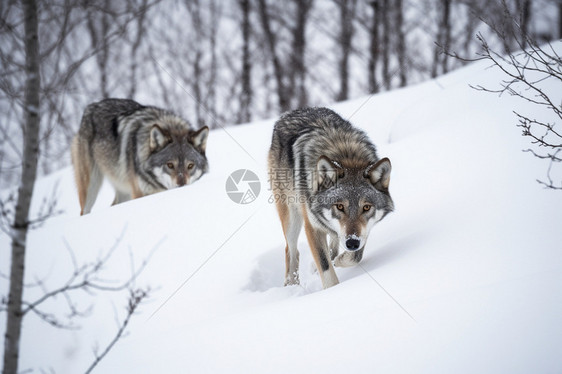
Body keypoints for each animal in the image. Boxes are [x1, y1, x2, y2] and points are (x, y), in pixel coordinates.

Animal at [71, 99, 208, 215]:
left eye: (190, 166)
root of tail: (91, 106)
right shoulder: (139, 194)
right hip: (91, 188)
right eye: (170, 165)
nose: (182, 186)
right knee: (84, 211)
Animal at [268, 106, 394, 288]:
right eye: (340, 206)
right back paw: (291, 285)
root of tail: (289, 113)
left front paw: (340, 260)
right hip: (291, 218)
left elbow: (355, 256)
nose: (352, 243)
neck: (346, 156)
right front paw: (332, 290)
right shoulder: (312, 227)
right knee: (291, 250)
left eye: (366, 207)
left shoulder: (363, 230)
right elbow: (326, 268)